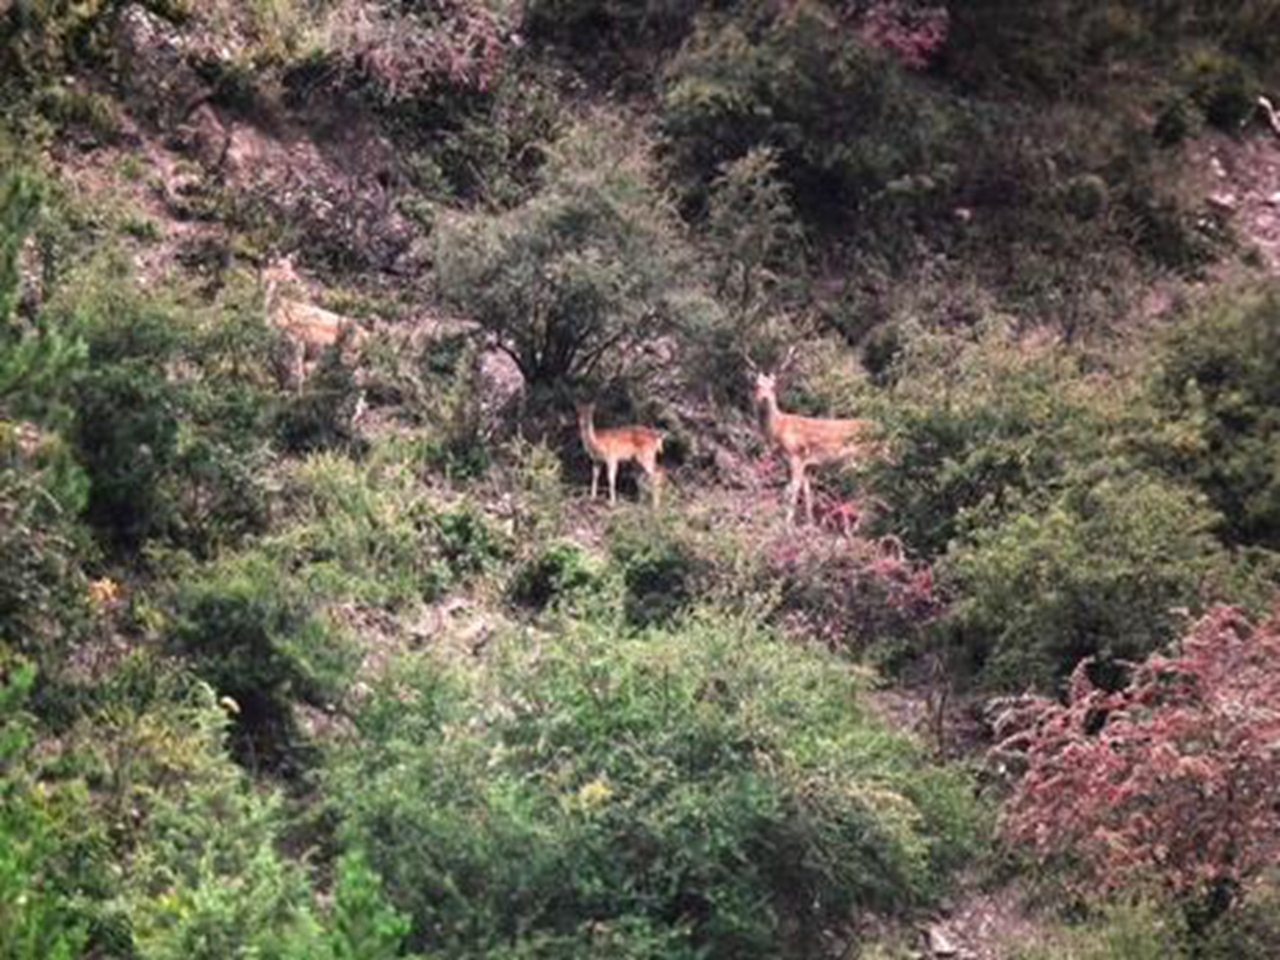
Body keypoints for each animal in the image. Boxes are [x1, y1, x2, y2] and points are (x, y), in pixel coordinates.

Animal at [261, 257, 368, 391]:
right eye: (279, 265)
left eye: (291, 266)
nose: (294, 279)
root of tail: (368, 336)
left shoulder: (294, 336)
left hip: (348, 347)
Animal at [747, 345, 880, 527]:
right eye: (756, 386)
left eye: (774, 386)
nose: (765, 399)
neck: (780, 430)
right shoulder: (807, 464)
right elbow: (807, 492)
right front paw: (809, 523)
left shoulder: (795, 455)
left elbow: (793, 490)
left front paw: (787, 522)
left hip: (867, 456)